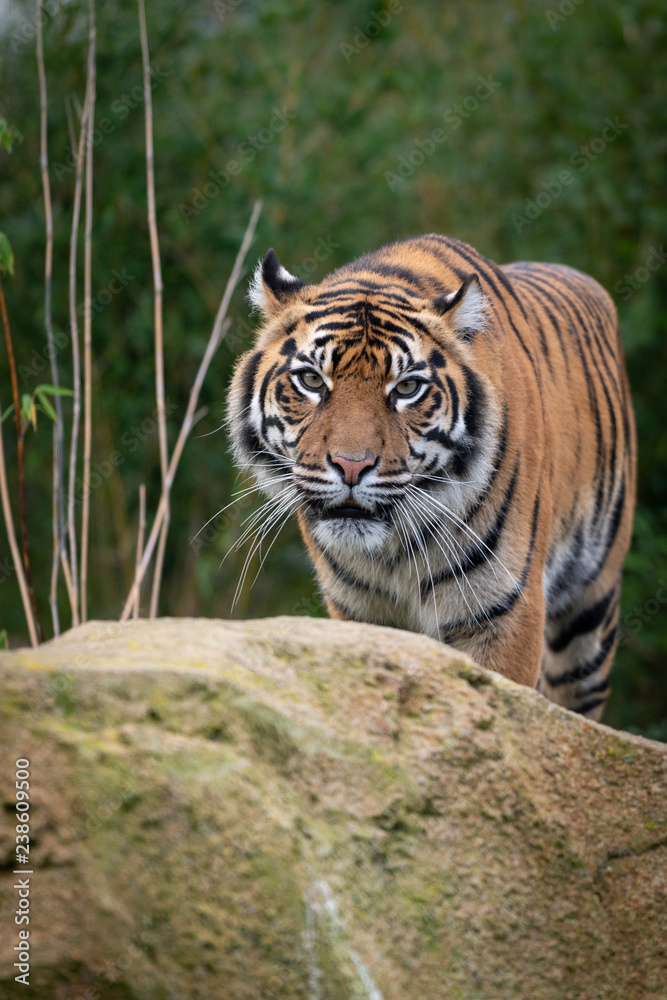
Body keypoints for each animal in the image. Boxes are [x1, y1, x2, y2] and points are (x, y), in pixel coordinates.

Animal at [227, 234, 636, 721]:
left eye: (407, 388)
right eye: (311, 380)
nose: (351, 465)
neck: (393, 553)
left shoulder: (505, 612)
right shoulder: (358, 614)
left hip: (589, 615)